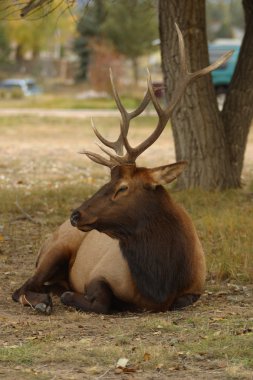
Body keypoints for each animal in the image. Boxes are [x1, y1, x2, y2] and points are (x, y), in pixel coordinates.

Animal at [12, 24, 233, 314]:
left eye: (122, 187)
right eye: (107, 180)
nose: (75, 215)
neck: (159, 281)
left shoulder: (194, 289)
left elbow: (180, 301)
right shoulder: (100, 273)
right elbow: (102, 300)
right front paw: (71, 296)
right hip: (55, 249)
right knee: (21, 287)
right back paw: (42, 301)